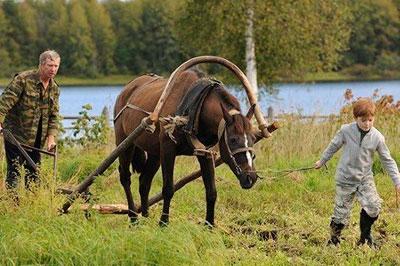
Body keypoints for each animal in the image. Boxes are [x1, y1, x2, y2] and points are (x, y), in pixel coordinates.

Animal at [114, 69, 260, 227]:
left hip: (155, 154)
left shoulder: (206, 152)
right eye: (233, 140)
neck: (194, 109)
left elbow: (211, 191)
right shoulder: (168, 149)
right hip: (125, 143)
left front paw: (209, 224)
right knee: (125, 177)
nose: (251, 177)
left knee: (144, 181)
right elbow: (168, 188)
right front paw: (163, 222)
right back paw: (133, 217)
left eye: (253, 138)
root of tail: (127, 88)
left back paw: (146, 216)